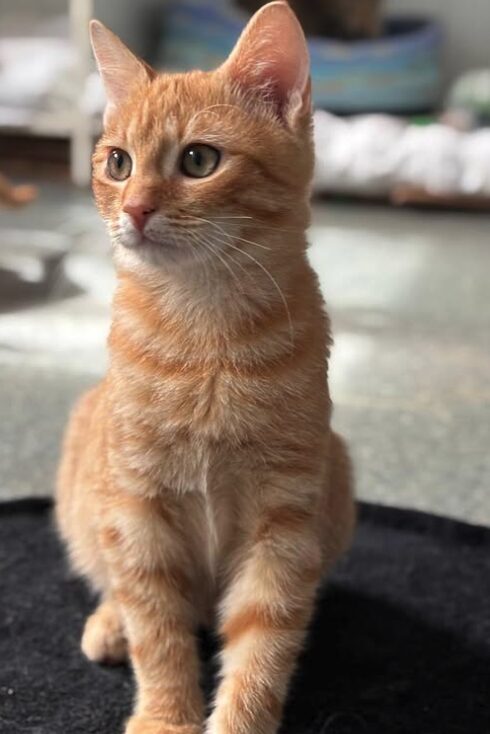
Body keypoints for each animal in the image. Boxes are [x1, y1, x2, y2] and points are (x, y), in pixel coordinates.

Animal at [56, 2, 356, 732]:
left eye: (198, 159)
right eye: (117, 162)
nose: (134, 208)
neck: (206, 334)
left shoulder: (284, 525)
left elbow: (262, 647)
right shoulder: (137, 508)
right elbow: (157, 629)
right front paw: (166, 716)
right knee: (117, 587)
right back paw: (108, 624)